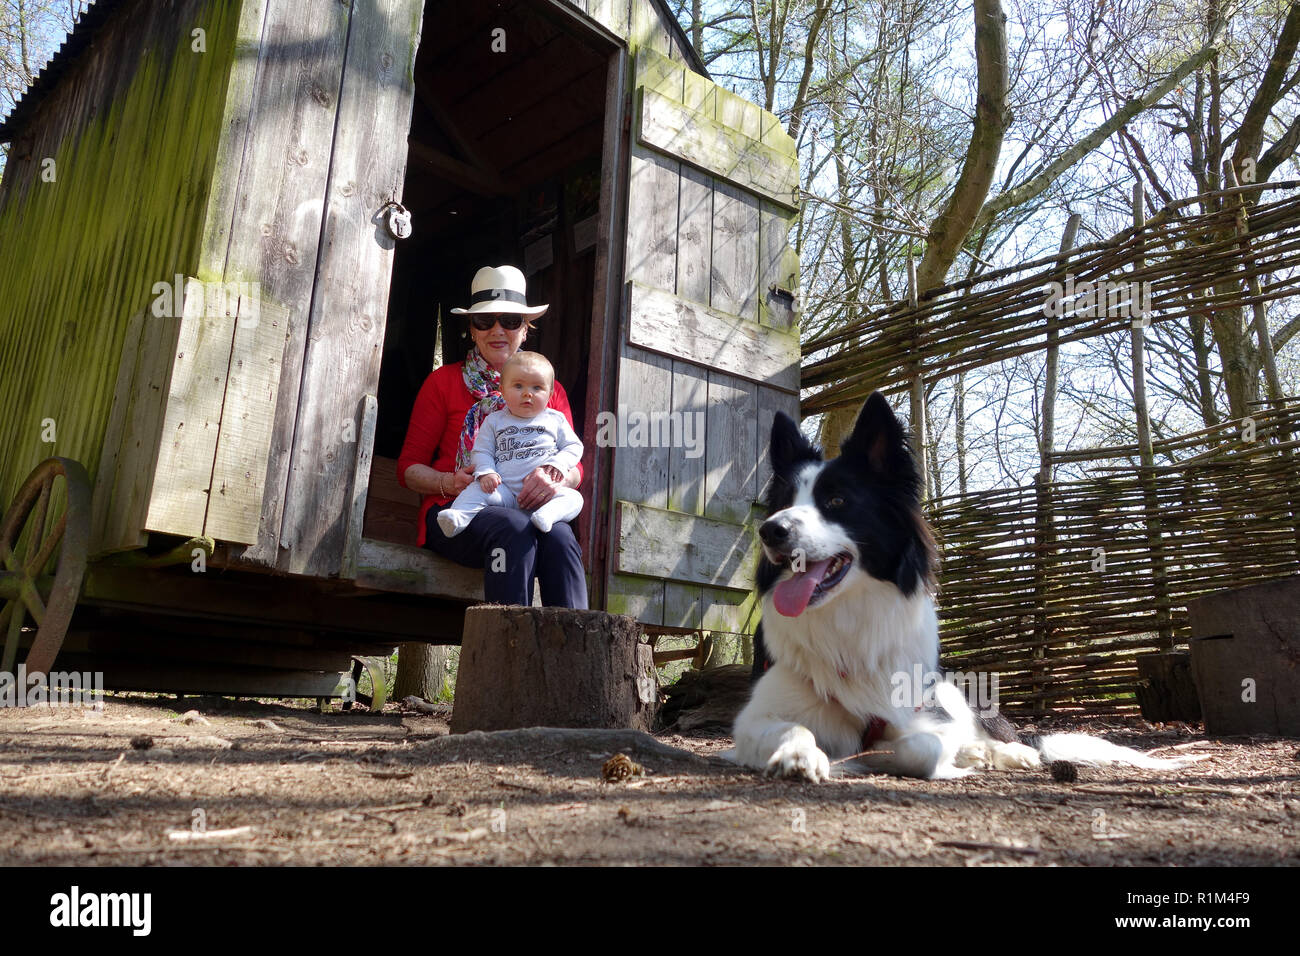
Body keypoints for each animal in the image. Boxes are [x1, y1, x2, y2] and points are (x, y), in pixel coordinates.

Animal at [738, 392, 1185, 780]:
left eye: (836, 501)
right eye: (784, 503)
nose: (771, 530)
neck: (845, 623)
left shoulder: (928, 714)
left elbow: (921, 746)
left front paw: (916, 756)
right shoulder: (755, 716)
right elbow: (793, 728)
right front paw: (800, 753)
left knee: (1004, 740)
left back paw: (1004, 752)